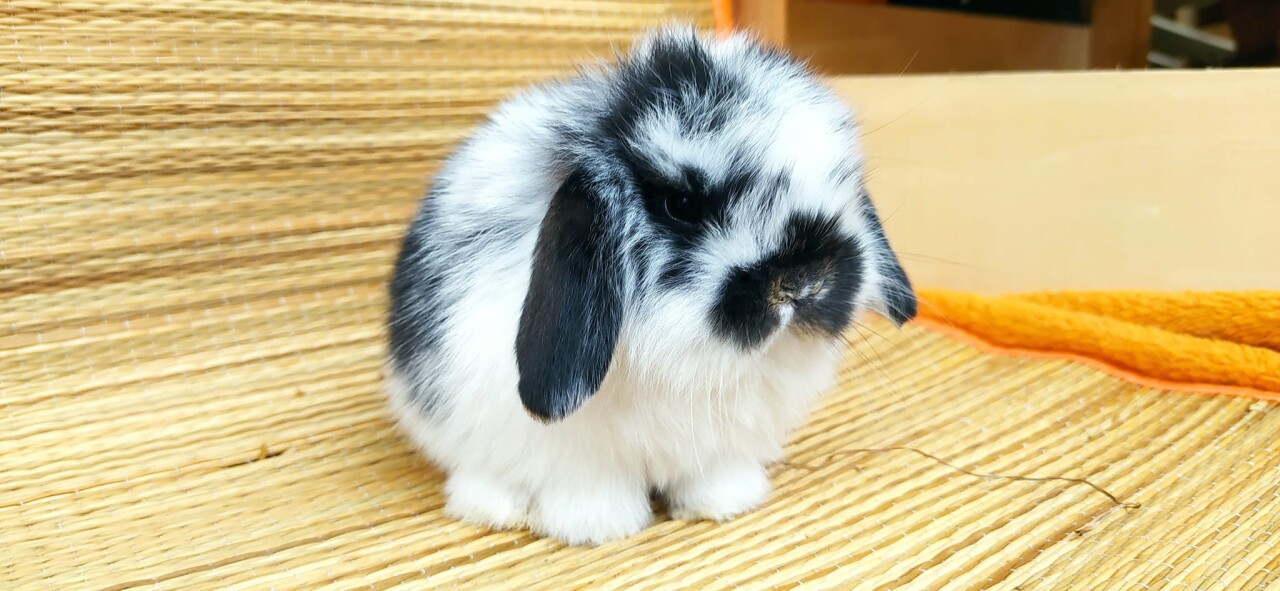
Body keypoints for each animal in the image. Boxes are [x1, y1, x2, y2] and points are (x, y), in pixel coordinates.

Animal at [384, 25, 916, 547]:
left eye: (842, 185)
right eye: (680, 204)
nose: (803, 283)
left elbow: (711, 475)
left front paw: (724, 502)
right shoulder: (574, 455)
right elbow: (587, 488)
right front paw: (598, 525)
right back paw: (496, 508)